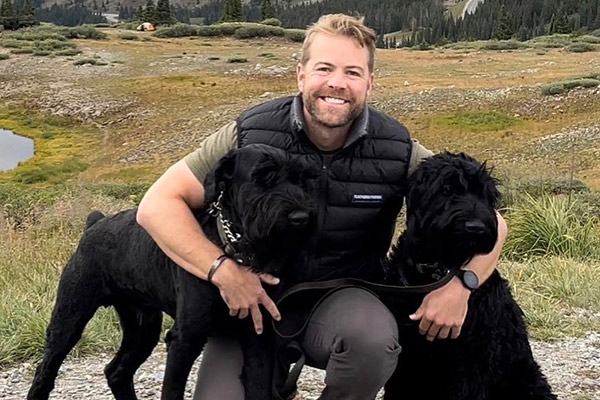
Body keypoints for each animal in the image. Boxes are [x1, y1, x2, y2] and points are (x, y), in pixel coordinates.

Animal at [27, 146, 318, 400]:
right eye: (263, 176)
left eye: (299, 178)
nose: (301, 218)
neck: (235, 248)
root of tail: (94, 224)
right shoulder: (184, 339)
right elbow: (172, 391)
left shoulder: (258, 340)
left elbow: (258, 388)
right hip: (69, 319)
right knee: (45, 372)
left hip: (143, 328)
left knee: (116, 371)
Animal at [382, 152, 556, 400]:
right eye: (446, 189)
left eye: (484, 193)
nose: (476, 227)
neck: (438, 269)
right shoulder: (407, 351)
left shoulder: (475, 354)